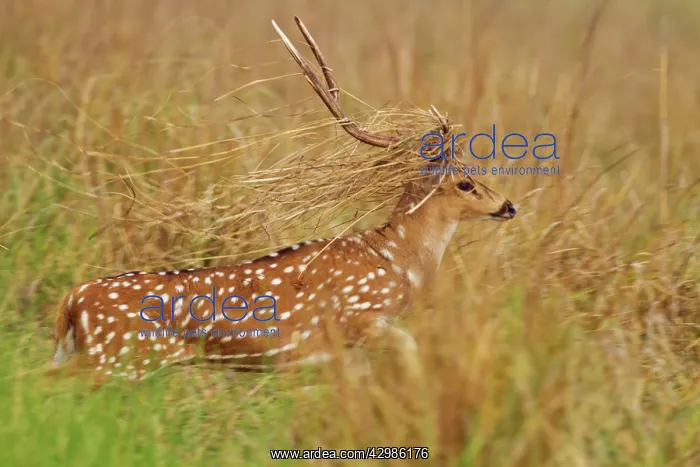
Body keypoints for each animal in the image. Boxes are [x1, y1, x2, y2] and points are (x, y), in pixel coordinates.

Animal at [47, 17, 517, 389]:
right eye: (465, 182)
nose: (509, 206)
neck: (398, 263)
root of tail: (71, 302)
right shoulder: (356, 318)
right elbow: (409, 347)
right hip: (117, 356)